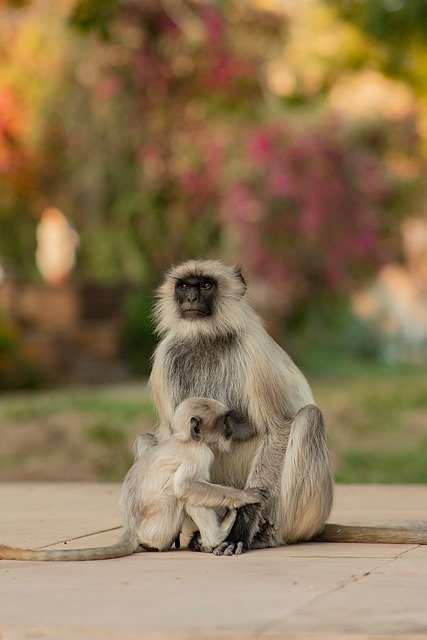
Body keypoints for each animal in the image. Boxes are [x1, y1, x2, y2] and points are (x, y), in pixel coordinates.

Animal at [0, 397, 267, 561]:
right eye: (223, 420)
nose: (230, 429)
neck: (184, 439)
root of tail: (132, 528)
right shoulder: (199, 452)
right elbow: (185, 486)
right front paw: (244, 497)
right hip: (159, 524)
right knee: (180, 495)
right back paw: (217, 536)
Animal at [149, 259, 427, 554]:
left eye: (205, 285)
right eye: (183, 286)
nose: (191, 298)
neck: (205, 338)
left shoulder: (253, 350)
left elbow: (279, 428)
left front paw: (241, 528)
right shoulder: (165, 355)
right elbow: (173, 438)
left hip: (297, 514)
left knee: (308, 418)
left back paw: (263, 533)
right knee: (149, 438)